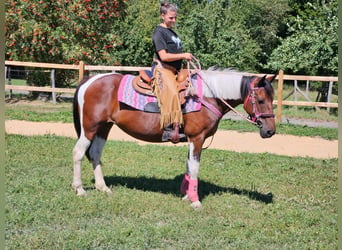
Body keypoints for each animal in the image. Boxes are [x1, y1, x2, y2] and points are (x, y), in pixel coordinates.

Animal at [71, 67, 276, 209]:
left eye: (272, 99)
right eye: (260, 100)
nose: (270, 131)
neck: (207, 96)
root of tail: (90, 79)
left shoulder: (192, 140)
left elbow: (189, 167)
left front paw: (186, 195)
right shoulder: (197, 138)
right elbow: (194, 168)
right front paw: (195, 201)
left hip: (103, 127)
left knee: (95, 154)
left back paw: (103, 188)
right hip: (89, 128)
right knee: (78, 153)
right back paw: (79, 189)